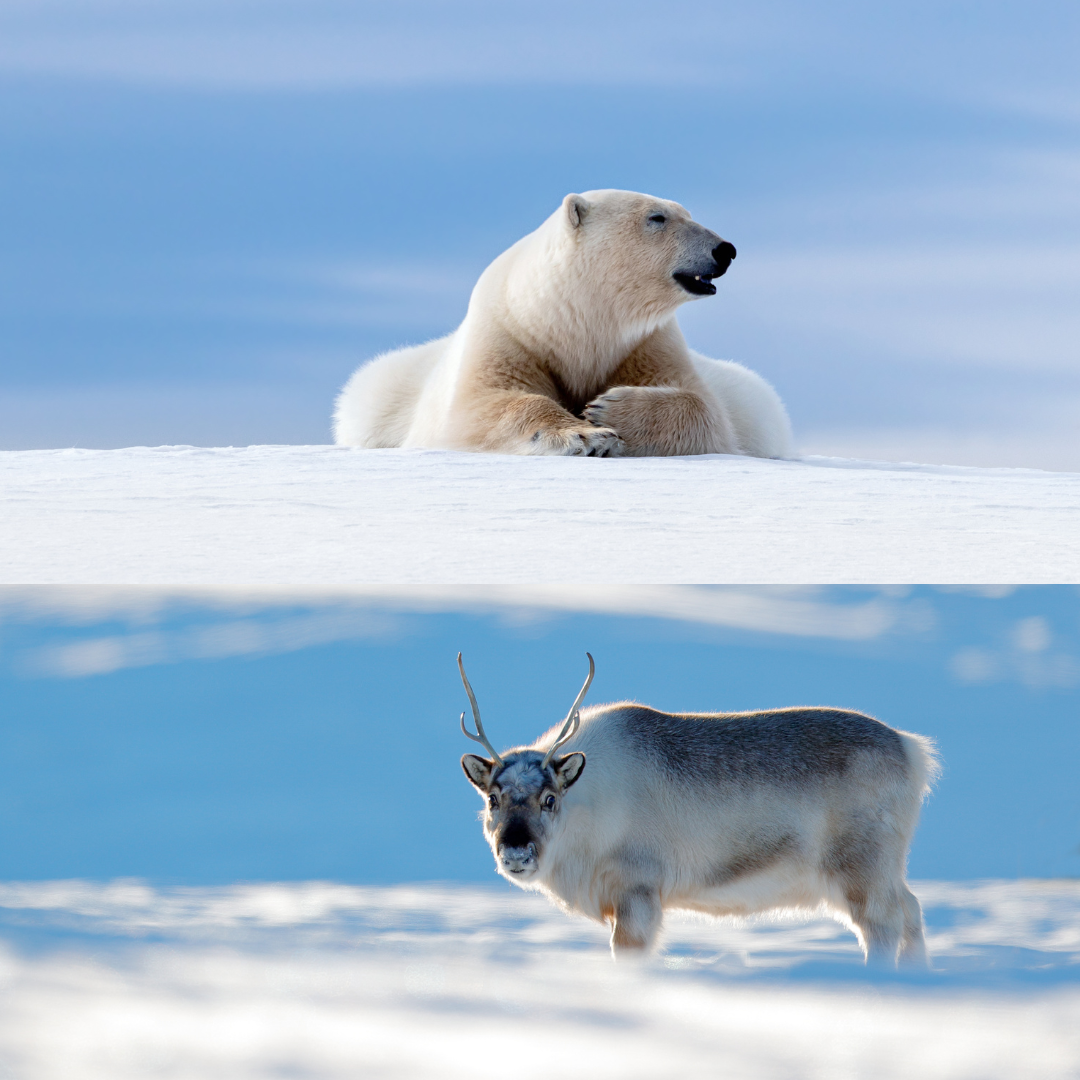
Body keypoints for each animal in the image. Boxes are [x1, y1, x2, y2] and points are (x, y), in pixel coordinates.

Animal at [334, 189, 794, 455]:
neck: (569, 319)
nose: (725, 249)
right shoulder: (508, 333)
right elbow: (479, 404)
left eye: (686, 211)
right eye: (657, 217)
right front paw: (586, 436)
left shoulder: (645, 342)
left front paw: (609, 409)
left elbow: (706, 411)